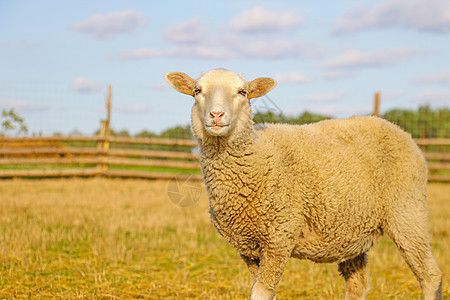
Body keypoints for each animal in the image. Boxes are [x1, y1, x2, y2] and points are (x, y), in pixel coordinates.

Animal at [163, 69, 442, 300]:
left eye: (242, 92)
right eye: (197, 90)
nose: (216, 115)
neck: (256, 157)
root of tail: (398, 130)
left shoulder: (279, 236)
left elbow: (261, 293)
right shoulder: (249, 248)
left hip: (407, 212)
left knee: (431, 276)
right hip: (353, 230)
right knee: (359, 285)